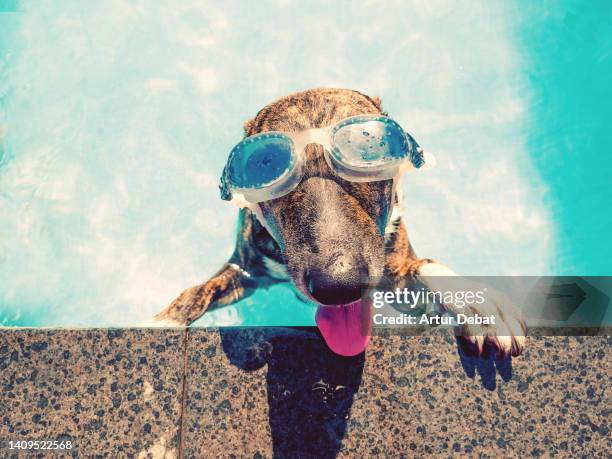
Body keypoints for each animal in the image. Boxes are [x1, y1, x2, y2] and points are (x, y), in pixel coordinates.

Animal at [153, 87, 524, 360]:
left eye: (369, 148)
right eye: (264, 164)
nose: (338, 286)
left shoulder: (403, 285)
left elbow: (425, 267)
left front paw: (480, 306)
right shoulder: (244, 266)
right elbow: (194, 294)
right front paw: (161, 321)